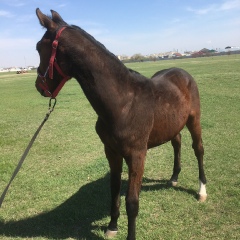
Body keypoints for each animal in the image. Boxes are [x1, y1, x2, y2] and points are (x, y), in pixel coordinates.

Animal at [35, 8, 206, 240]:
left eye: (38, 47)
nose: (39, 86)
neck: (124, 102)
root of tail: (182, 72)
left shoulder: (137, 155)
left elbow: (132, 201)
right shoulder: (112, 151)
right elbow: (114, 190)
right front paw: (112, 226)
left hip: (194, 120)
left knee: (198, 149)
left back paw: (202, 191)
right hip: (172, 125)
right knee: (176, 142)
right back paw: (174, 177)